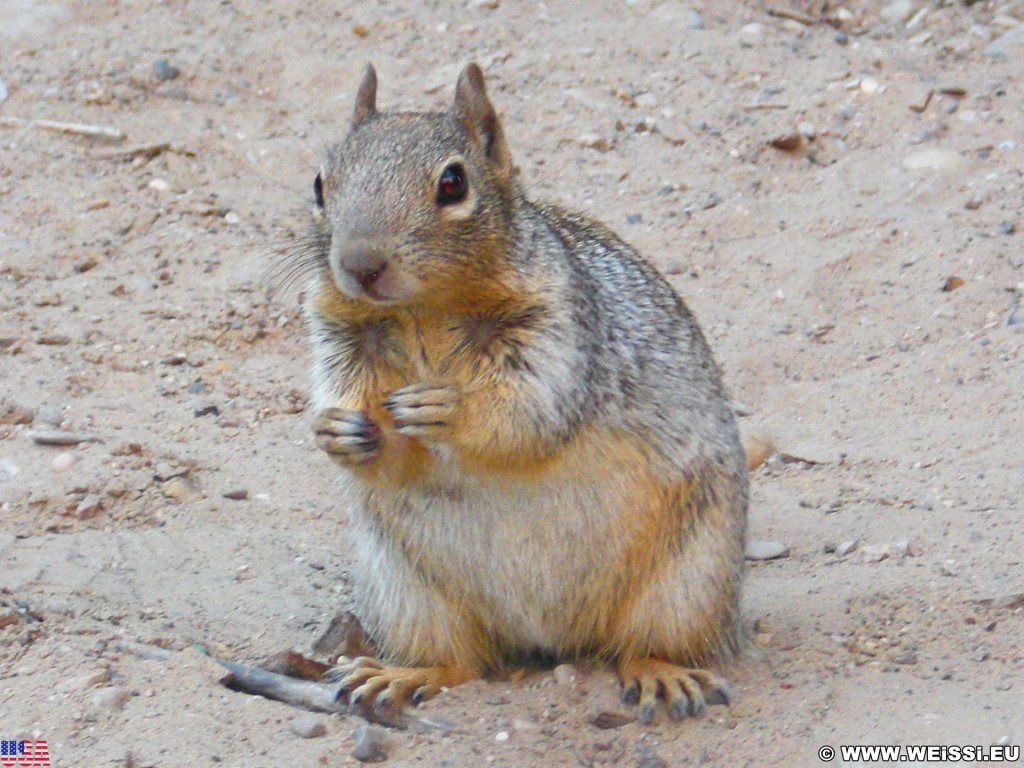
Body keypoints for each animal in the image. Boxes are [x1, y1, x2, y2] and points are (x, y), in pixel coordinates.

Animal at [299, 63, 749, 724]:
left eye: (453, 183)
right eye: (319, 183)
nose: (359, 265)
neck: (423, 310)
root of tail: (552, 638)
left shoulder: (555, 333)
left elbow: (528, 414)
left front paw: (449, 407)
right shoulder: (342, 340)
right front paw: (339, 434)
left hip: (690, 580)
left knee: (642, 644)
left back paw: (661, 673)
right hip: (409, 594)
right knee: (461, 663)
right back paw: (403, 674)